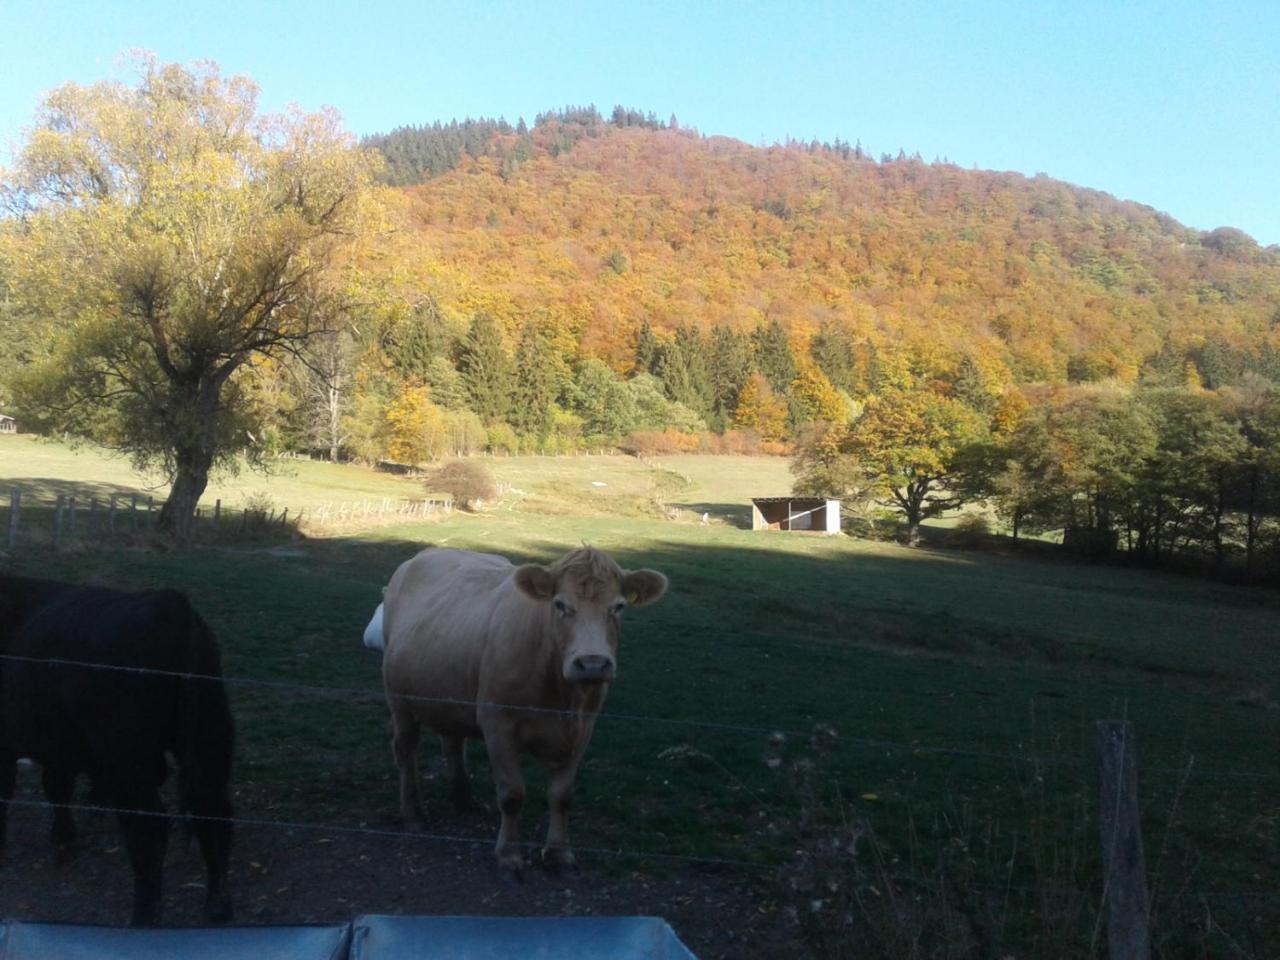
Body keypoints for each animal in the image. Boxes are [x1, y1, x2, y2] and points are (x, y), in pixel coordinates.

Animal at [0, 576, 235, 926]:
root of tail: (168, 603)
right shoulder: (60, 747)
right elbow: (57, 788)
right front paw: (63, 840)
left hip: (127, 760)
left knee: (148, 830)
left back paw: (143, 917)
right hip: (211, 736)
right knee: (214, 812)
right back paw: (217, 908)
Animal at [378, 545, 670, 875]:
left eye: (618, 606)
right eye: (560, 605)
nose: (593, 663)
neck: (561, 697)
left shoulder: (584, 728)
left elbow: (562, 795)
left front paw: (558, 853)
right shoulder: (497, 722)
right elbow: (512, 794)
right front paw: (508, 854)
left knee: (452, 743)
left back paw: (463, 799)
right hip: (399, 699)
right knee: (406, 749)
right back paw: (413, 813)